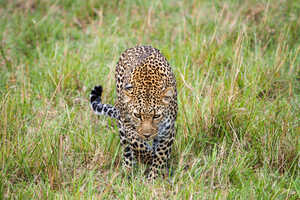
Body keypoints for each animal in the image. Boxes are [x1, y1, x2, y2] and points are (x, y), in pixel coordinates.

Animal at [90, 45, 177, 180]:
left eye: (156, 116)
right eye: (137, 115)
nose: (147, 135)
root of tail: (138, 45)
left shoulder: (168, 131)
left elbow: (160, 156)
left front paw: (153, 178)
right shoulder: (126, 122)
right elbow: (137, 144)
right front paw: (148, 157)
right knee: (126, 148)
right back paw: (128, 169)